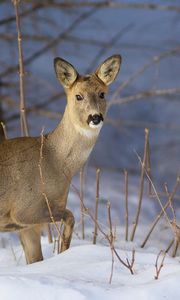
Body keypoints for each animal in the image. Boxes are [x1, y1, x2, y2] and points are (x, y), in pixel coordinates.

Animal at [0, 54, 121, 262]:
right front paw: (64, 250)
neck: (53, 161)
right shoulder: (23, 210)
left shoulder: (27, 227)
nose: (95, 117)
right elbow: (71, 216)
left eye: (102, 94)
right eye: (78, 96)